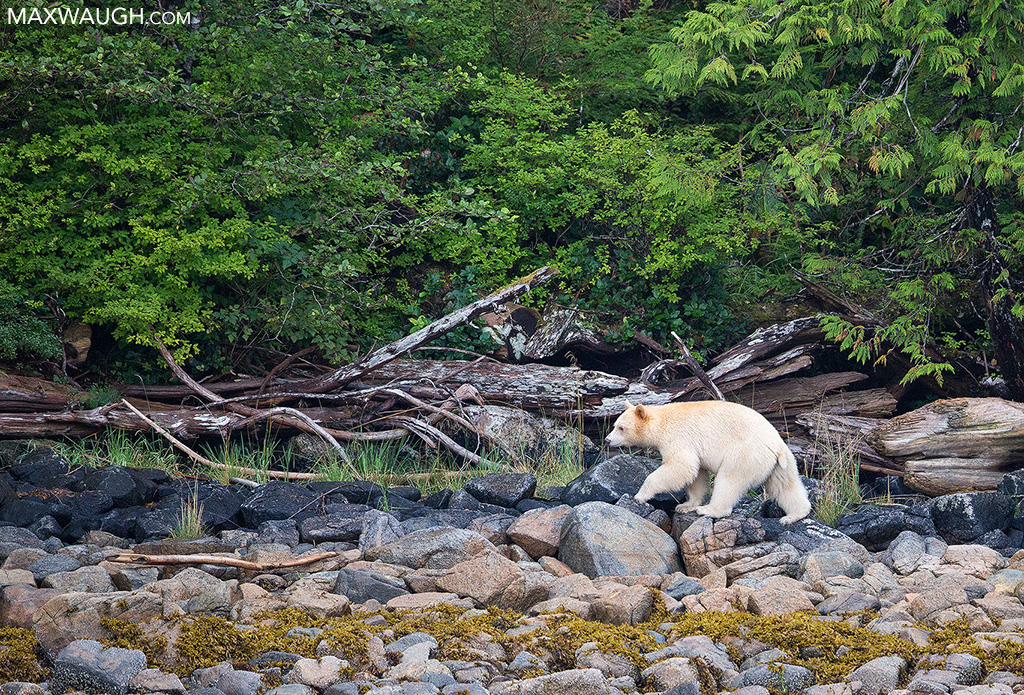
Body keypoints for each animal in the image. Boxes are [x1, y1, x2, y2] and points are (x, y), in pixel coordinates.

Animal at [604, 400, 812, 524]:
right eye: (614, 425)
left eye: (621, 428)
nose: (607, 440)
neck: (662, 421)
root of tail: (775, 445)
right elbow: (697, 475)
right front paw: (686, 505)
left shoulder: (678, 437)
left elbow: (681, 467)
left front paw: (640, 496)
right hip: (781, 462)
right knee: (784, 485)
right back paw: (793, 515)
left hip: (745, 453)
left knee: (729, 480)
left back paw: (709, 510)